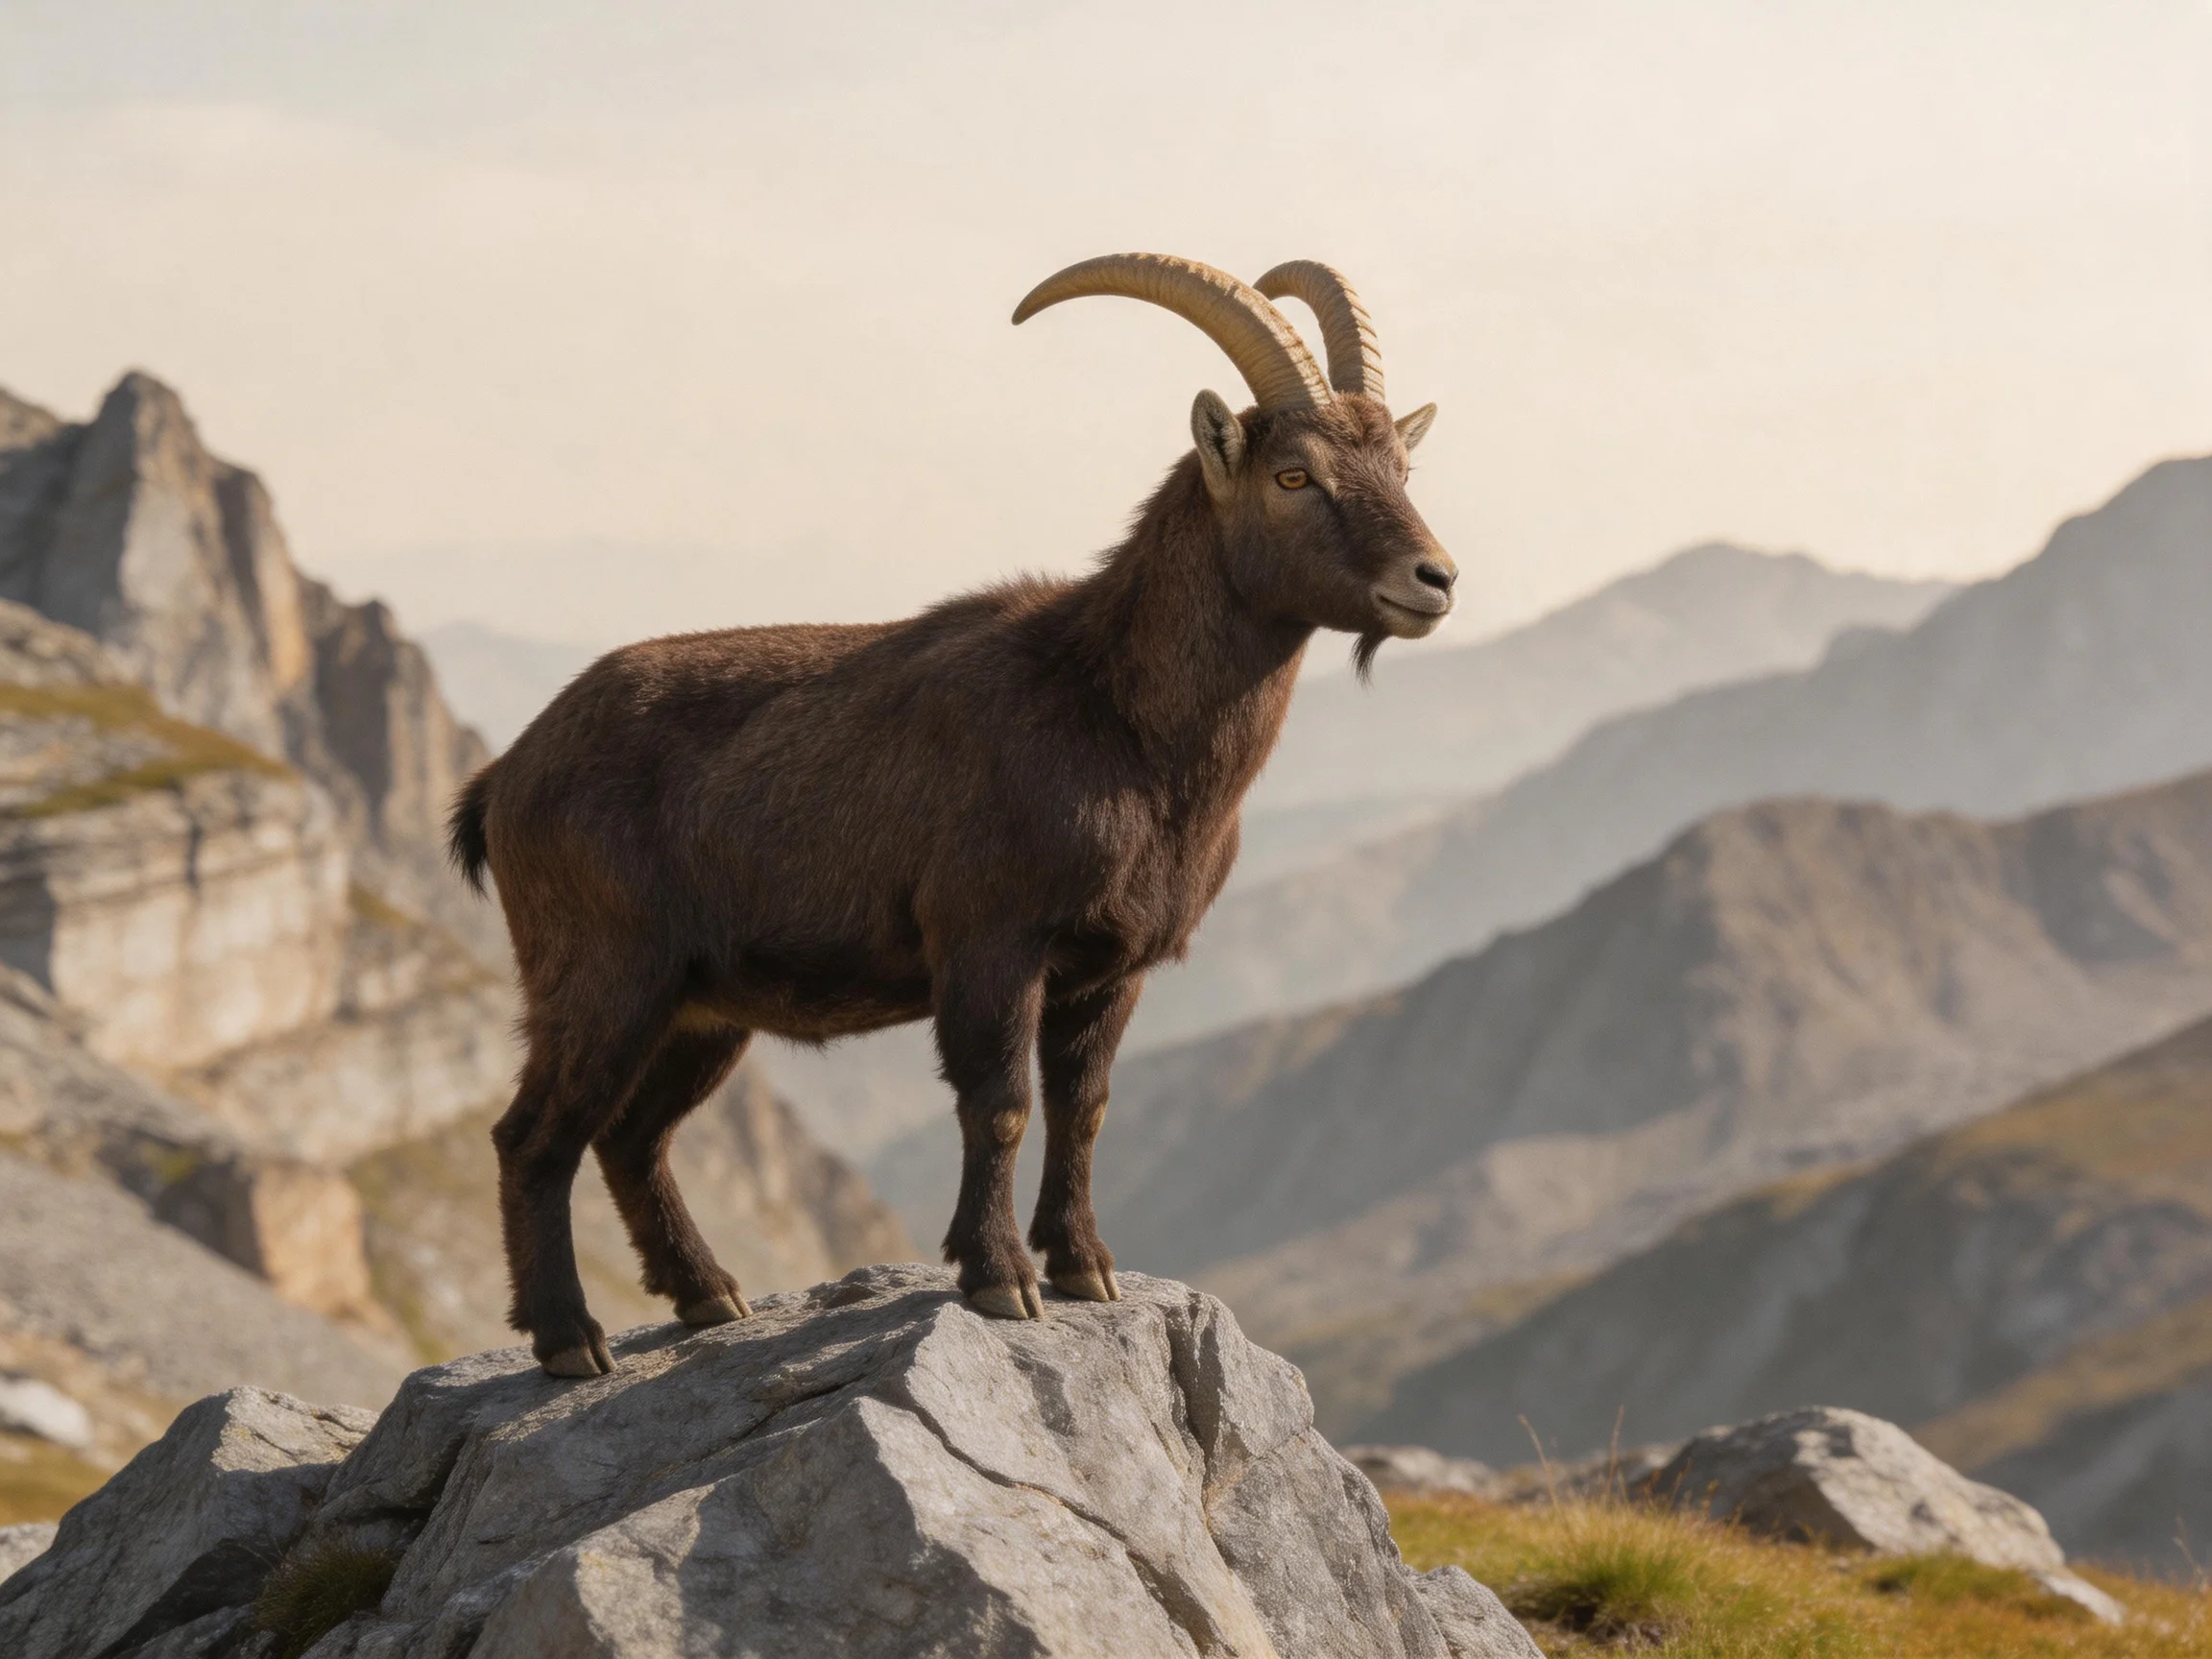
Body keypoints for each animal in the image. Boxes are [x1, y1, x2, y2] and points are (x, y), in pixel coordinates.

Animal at [449, 253, 1456, 1375]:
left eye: (1402, 470)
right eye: (1294, 477)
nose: (1434, 579)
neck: (1114, 712)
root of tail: (507, 775)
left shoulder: (1111, 970)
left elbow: (1084, 1108)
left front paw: (1085, 1267)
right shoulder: (991, 940)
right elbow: (1001, 1104)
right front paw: (1001, 1278)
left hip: (701, 1007)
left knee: (633, 1136)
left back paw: (709, 1295)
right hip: (602, 975)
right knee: (535, 1135)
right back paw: (570, 1338)